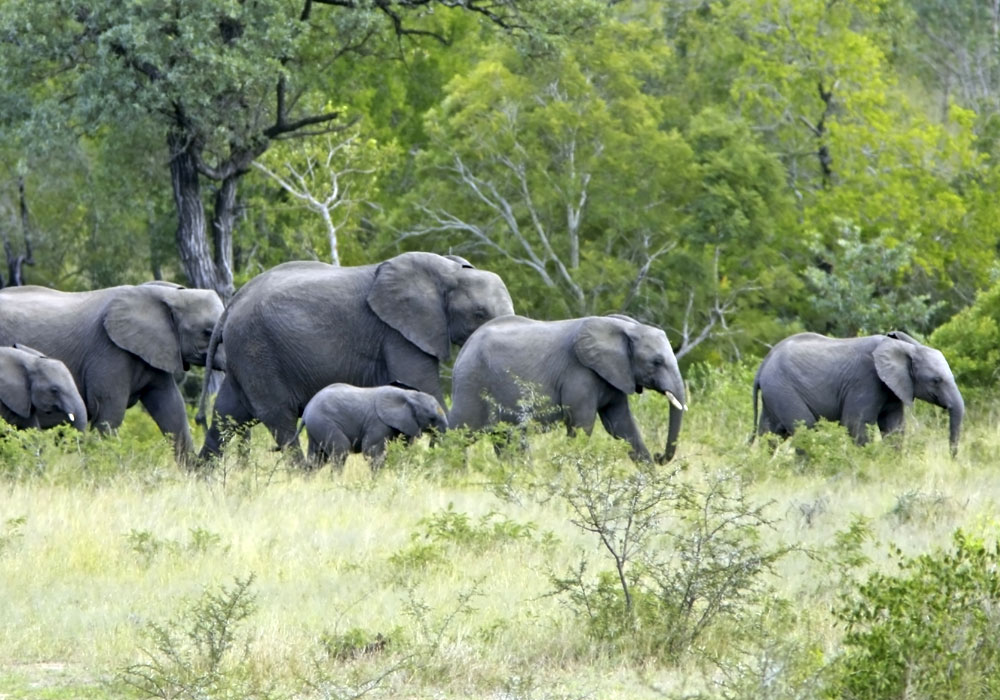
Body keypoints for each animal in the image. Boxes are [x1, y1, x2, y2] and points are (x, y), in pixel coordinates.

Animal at [0, 278, 225, 460]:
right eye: (207, 332)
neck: (168, 294)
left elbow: (171, 408)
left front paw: (195, 476)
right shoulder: (109, 351)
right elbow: (110, 414)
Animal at [201, 252, 516, 460]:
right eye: (479, 313)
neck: (449, 270)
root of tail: (233, 302)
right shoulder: (398, 332)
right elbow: (423, 386)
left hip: (245, 354)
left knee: (226, 413)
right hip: (257, 349)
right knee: (278, 417)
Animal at [294, 382, 448, 470]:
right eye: (432, 418)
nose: (432, 446)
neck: (409, 395)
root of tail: (306, 412)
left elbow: (403, 448)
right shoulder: (378, 423)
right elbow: (371, 451)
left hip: (316, 427)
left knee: (317, 458)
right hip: (323, 422)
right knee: (340, 450)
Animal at [448, 314, 688, 462]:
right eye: (657, 362)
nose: (659, 456)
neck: (626, 328)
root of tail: (464, 349)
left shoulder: (615, 374)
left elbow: (622, 426)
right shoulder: (579, 374)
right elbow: (582, 425)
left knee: (508, 439)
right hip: (472, 384)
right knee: (459, 435)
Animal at [752, 332, 964, 456]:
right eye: (936, 380)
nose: (952, 459)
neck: (905, 348)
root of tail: (763, 364)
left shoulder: (893, 389)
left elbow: (894, 428)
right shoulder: (865, 381)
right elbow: (855, 424)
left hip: (775, 392)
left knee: (771, 433)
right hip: (783, 388)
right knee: (806, 428)